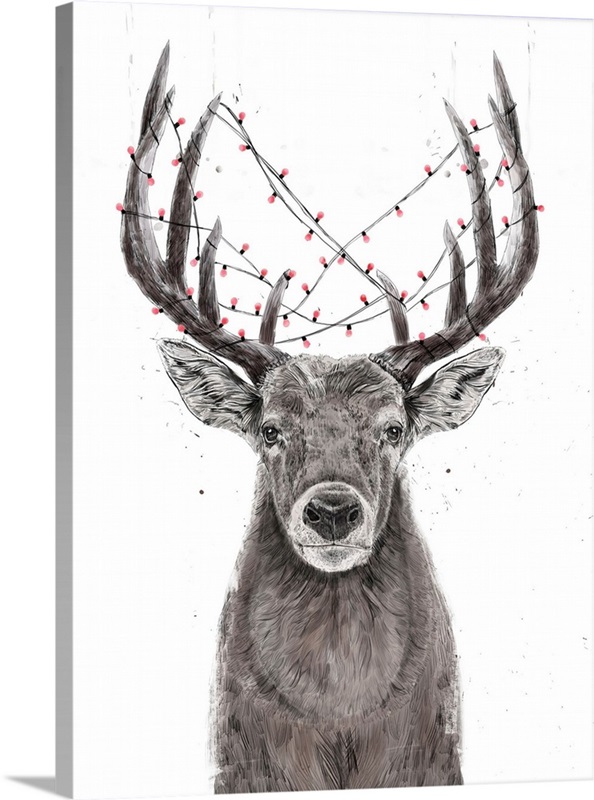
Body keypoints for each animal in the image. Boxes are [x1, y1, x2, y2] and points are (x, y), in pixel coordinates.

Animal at [120, 44, 539, 792]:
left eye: (394, 428)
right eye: (270, 430)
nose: (334, 511)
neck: (340, 731)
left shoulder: (436, 759)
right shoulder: (237, 768)